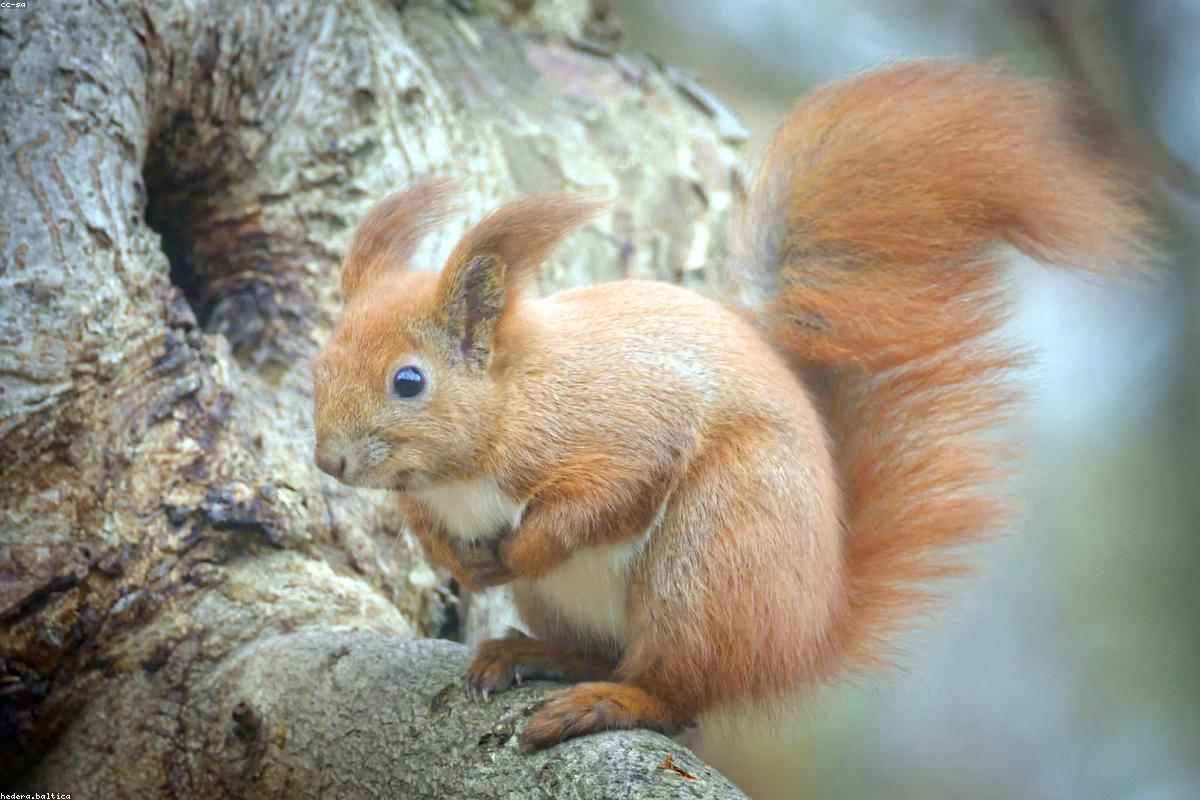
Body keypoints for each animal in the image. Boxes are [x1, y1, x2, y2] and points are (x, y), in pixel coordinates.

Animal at [311, 61, 1151, 752]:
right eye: (316, 365)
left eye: (409, 381)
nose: (329, 461)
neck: (502, 416)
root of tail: (809, 631)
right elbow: (427, 524)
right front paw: (462, 560)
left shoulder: (617, 427)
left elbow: (604, 497)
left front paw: (520, 548)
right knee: (608, 655)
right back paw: (534, 653)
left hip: (711, 554)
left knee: (677, 693)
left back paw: (607, 702)